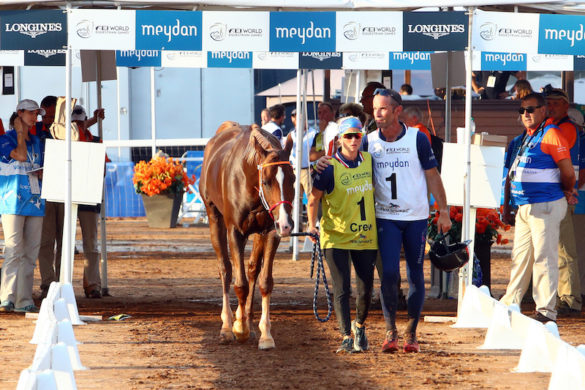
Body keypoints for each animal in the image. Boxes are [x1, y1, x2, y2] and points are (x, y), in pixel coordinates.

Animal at [198, 122, 294, 350]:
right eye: (266, 181)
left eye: (293, 179)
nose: (287, 224)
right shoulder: (235, 232)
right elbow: (239, 283)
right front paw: (239, 328)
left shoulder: (271, 232)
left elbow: (265, 282)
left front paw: (265, 333)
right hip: (214, 218)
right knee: (225, 269)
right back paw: (228, 325)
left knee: (252, 269)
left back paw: (249, 319)